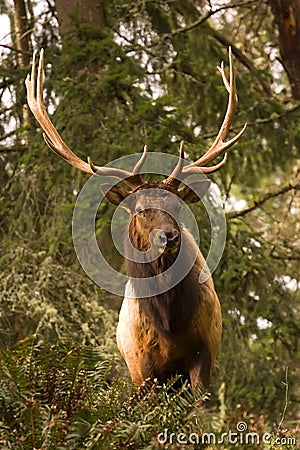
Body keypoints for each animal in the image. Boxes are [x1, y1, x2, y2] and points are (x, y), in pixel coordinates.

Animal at [25, 47, 246, 388]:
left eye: (179, 207)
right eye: (140, 209)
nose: (170, 236)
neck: (168, 323)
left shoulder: (205, 350)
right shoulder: (140, 364)